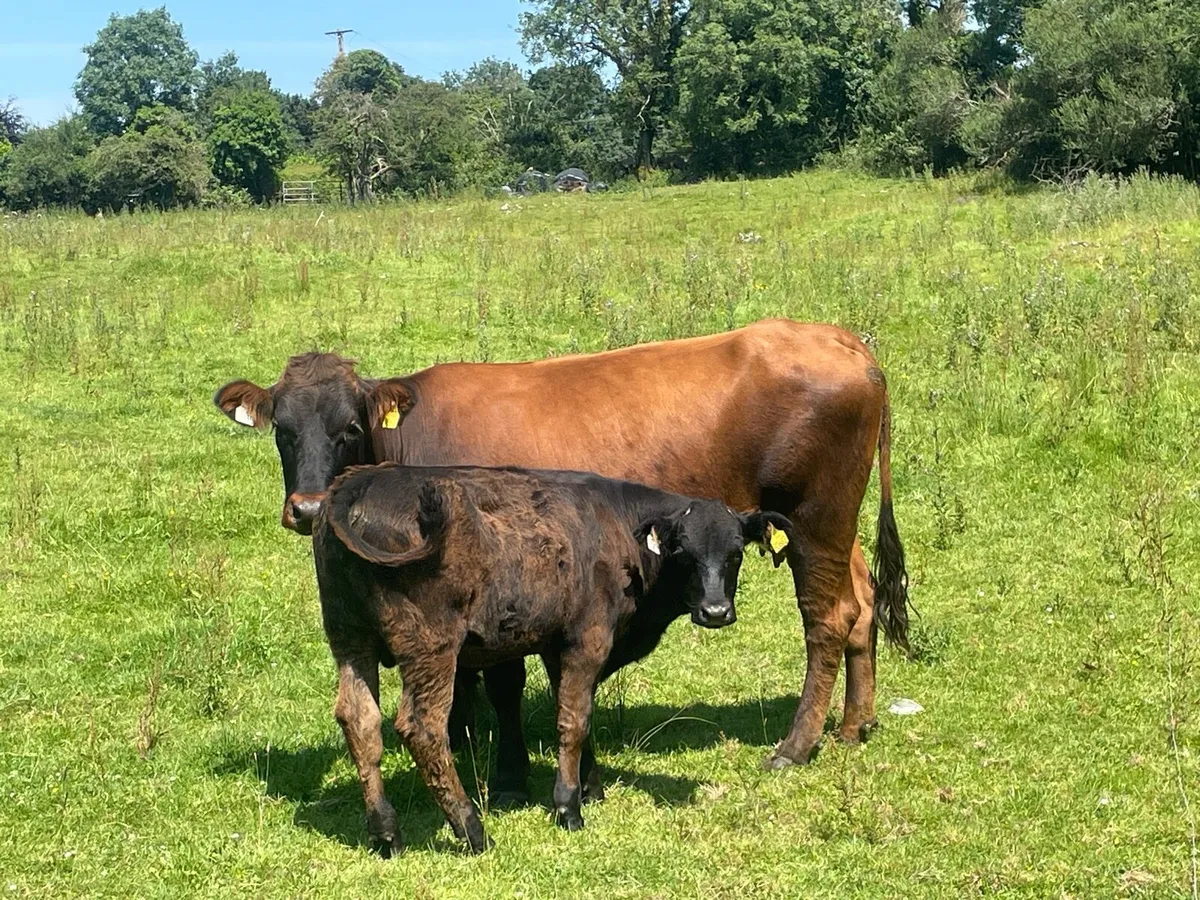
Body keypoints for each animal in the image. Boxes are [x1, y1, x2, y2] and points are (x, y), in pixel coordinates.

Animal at [214, 318, 910, 794]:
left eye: (351, 428)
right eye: (283, 430)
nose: (307, 508)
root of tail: (843, 342)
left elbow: (501, 680)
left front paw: (506, 769)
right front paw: (467, 742)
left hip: (816, 521)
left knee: (825, 620)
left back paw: (796, 744)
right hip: (832, 529)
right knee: (860, 603)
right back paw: (855, 725)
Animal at [314, 462, 794, 854]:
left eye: (736, 552)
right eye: (682, 551)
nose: (715, 611)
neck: (615, 525)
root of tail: (362, 480)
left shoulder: (554, 643)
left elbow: (579, 709)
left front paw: (590, 786)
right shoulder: (588, 638)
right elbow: (573, 719)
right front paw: (568, 807)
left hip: (349, 638)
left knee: (359, 721)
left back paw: (385, 834)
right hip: (431, 647)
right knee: (423, 727)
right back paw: (473, 831)